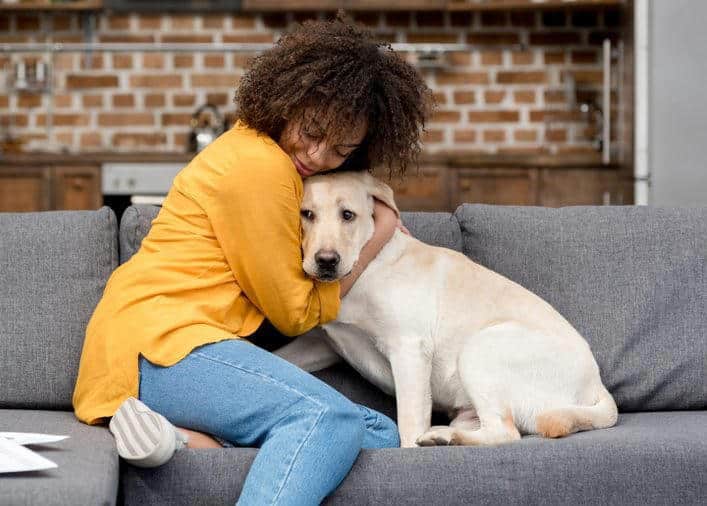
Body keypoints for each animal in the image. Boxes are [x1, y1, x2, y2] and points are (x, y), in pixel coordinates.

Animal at [274, 171, 616, 446]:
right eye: (306, 214)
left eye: (348, 215)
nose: (326, 261)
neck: (365, 265)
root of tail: (597, 385)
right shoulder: (320, 343)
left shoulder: (409, 349)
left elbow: (409, 423)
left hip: (480, 349)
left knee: (505, 432)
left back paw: (443, 438)